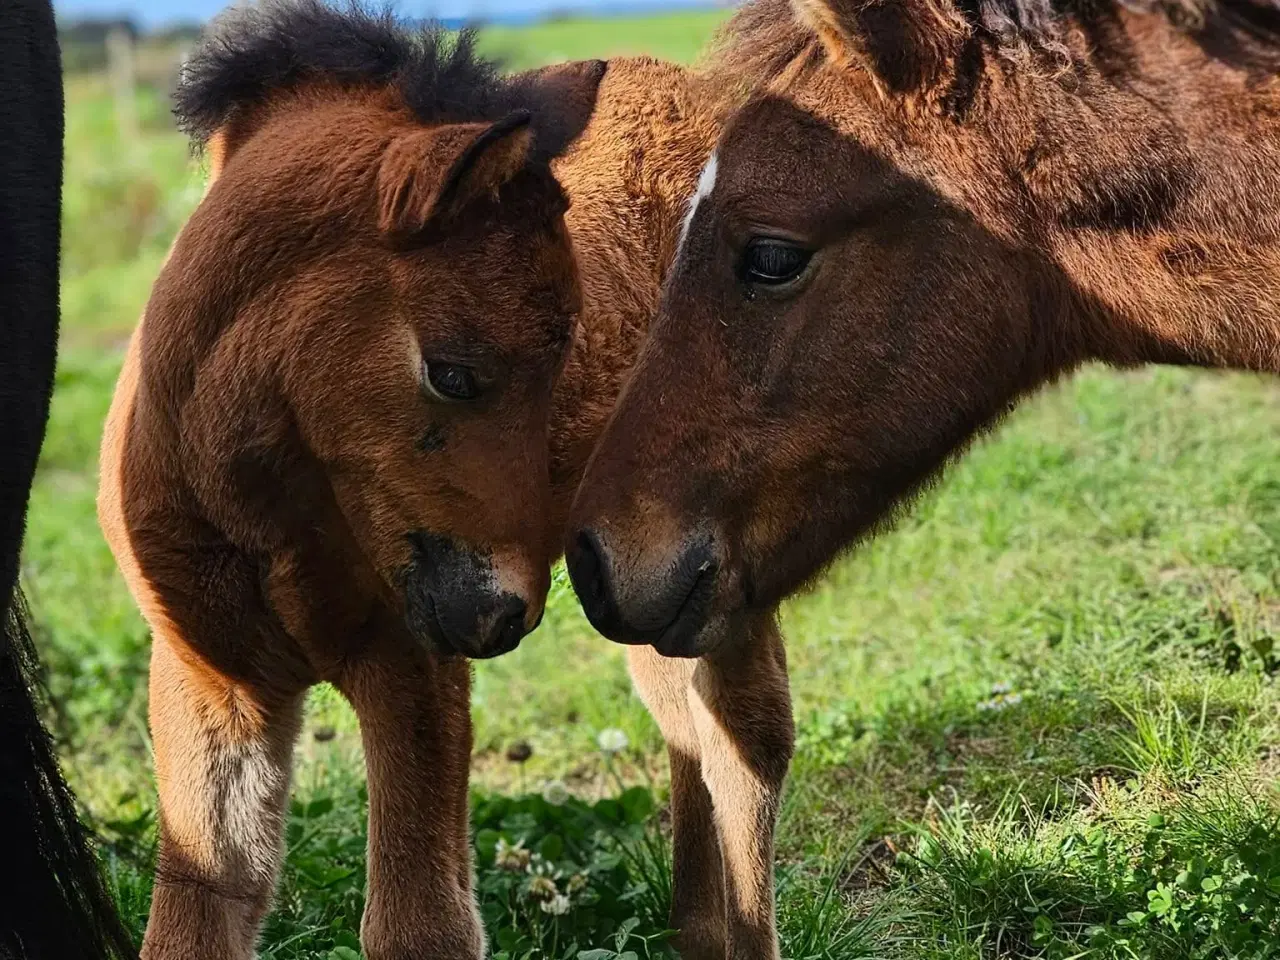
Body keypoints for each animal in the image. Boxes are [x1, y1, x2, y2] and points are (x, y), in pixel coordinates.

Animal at [94, 3, 604, 957]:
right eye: (452, 373)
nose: (505, 615)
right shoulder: (207, 678)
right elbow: (196, 915)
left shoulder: (411, 663)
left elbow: (418, 924)